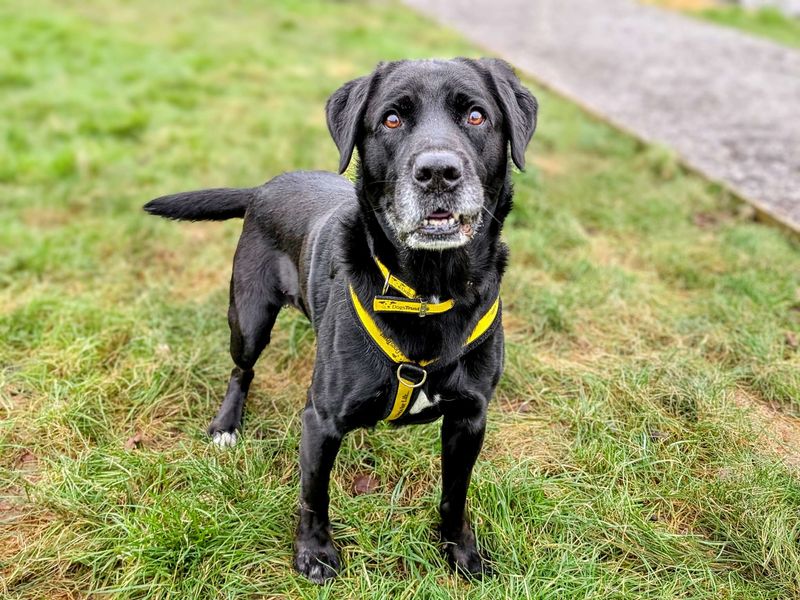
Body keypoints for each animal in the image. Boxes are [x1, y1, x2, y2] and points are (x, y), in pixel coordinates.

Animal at [145, 58, 536, 584]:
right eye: (391, 119)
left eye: (476, 116)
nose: (437, 172)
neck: (428, 292)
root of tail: (265, 186)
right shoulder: (321, 420)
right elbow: (315, 494)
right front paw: (313, 553)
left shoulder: (469, 418)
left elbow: (455, 495)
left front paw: (461, 553)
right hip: (249, 317)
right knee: (241, 369)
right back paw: (227, 424)